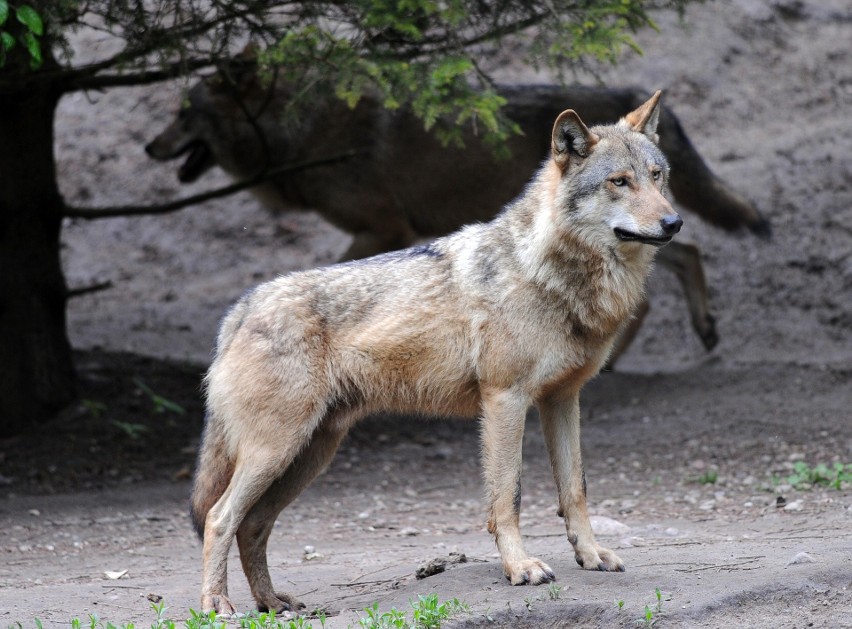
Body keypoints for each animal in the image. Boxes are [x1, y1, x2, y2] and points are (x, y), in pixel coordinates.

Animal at [148, 65, 772, 364]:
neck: (303, 133)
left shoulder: (383, 227)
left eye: (183, 113)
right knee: (686, 256)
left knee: (676, 264)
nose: (151, 147)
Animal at [191, 92, 680, 612]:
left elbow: (575, 490)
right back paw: (218, 605)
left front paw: (590, 555)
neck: (549, 274)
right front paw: (520, 568)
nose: (674, 222)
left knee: (253, 524)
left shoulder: (563, 400)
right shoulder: (505, 400)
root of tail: (241, 307)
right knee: (220, 518)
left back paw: (272, 603)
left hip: (308, 455)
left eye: (656, 176)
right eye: (619, 182)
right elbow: (508, 497)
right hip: (276, 451)